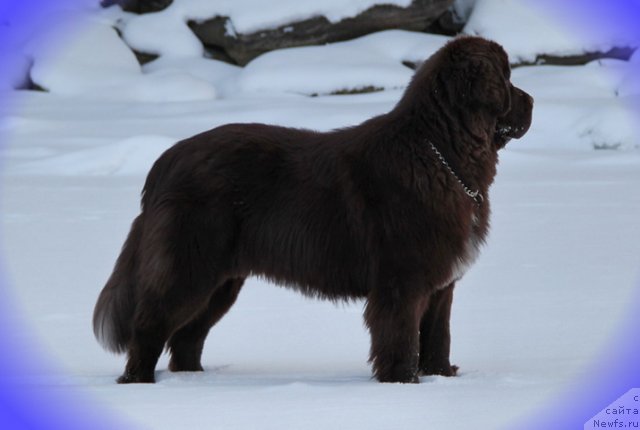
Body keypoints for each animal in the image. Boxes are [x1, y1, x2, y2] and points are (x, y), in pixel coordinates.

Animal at [94, 37, 536, 384]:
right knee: (150, 325)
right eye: (507, 78)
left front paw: (441, 377)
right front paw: (401, 383)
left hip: (223, 281)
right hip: (190, 266)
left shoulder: (441, 284)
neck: (440, 152)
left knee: (187, 338)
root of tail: (165, 161)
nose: (532, 100)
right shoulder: (401, 282)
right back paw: (140, 382)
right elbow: (401, 339)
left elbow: (438, 337)